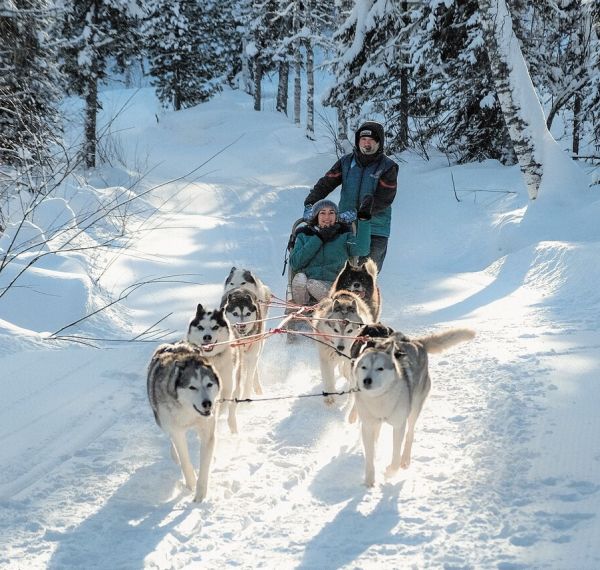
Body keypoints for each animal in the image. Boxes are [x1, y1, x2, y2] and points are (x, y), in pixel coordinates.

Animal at [146, 340, 221, 500]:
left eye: (209, 384)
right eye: (192, 387)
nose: (207, 403)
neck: (188, 411)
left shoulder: (207, 431)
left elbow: (205, 463)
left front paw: (200, 493)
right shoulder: (177, 431)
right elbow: (184, 459)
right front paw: (191, 483)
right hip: (163, 421)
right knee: (172, 441)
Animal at [352, 328, 474, 484]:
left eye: (380, 368)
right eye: (364, 367)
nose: (366, 380)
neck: (380, 399)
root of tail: (418, 343)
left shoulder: (399, 425)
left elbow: (395, 455)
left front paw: (390, 472)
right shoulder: (368, 426)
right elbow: (369, 455)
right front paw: (370, 480)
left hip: (414, 410)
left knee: (410, 434)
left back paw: (405, 460)